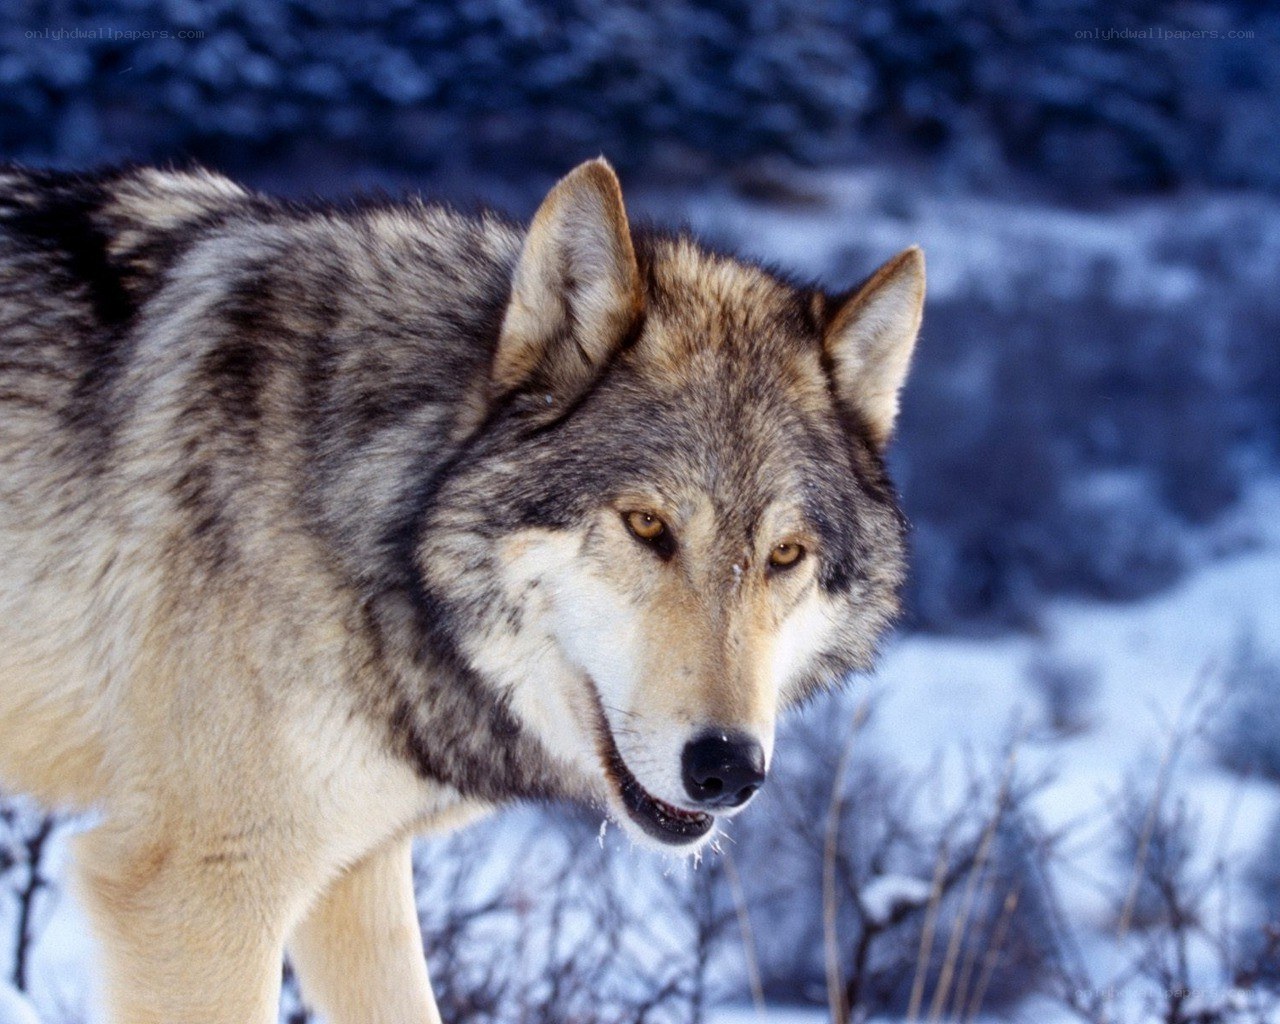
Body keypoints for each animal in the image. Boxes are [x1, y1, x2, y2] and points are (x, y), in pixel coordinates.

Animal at [0, 157, 923, 1022]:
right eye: (647, 526)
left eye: (785, 554)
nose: (728, 768)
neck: (376, 510)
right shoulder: (196, 892)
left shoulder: (356, 874)